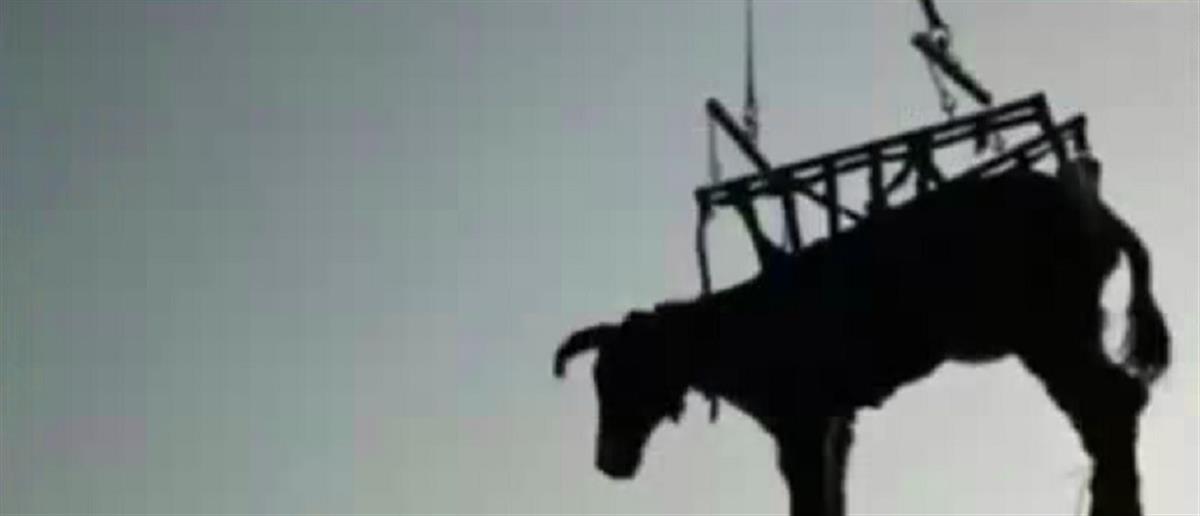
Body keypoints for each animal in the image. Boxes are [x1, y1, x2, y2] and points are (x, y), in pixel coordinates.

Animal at [553, 169, 1169, 516]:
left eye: (624, 376)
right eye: (599, 378)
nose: (609, 464)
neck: (730, 331)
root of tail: (1097, 213)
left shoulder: (799, 420)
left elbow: (808, 495)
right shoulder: (835, 419)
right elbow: (833, 492)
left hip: (1049, 330)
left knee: (1111, 405)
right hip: (1061, 331)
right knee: (1107, 409)